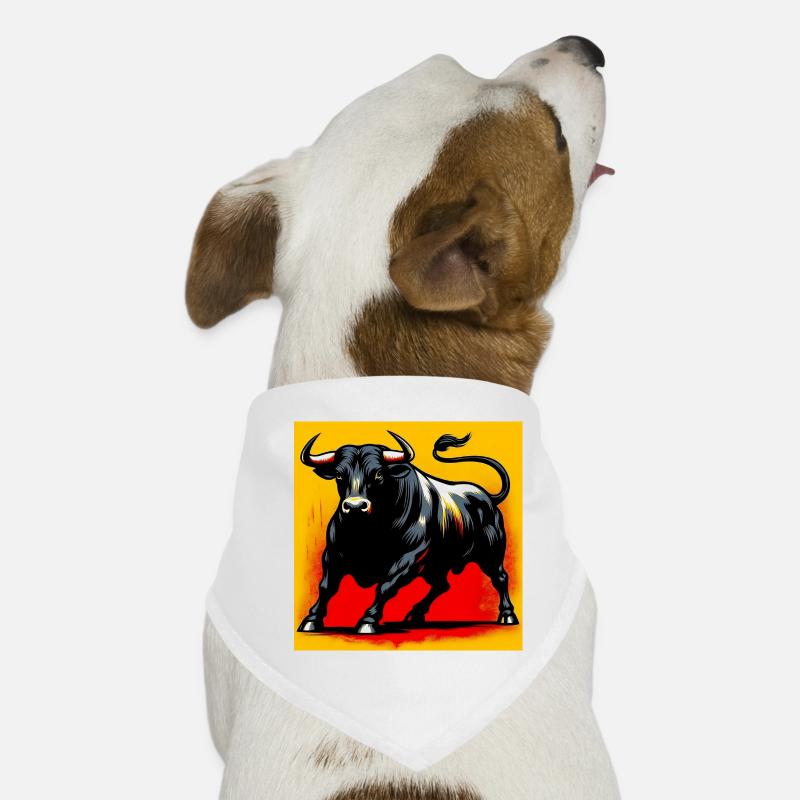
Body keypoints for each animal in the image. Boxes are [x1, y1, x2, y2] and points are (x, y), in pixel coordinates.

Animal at [297, 430, 518, 634]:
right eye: (339, 475)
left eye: (378, 474)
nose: (355, 506)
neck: (368, 533)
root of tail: (487, 497)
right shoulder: (332, 554)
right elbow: (326, 587)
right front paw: (312, 619)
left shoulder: (409, 558)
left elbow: (385, 587)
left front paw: (368, 620)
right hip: (436, 565)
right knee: (442, 585)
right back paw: (416, 614)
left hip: (491, 556)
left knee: (500, 578)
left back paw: (507, 615)